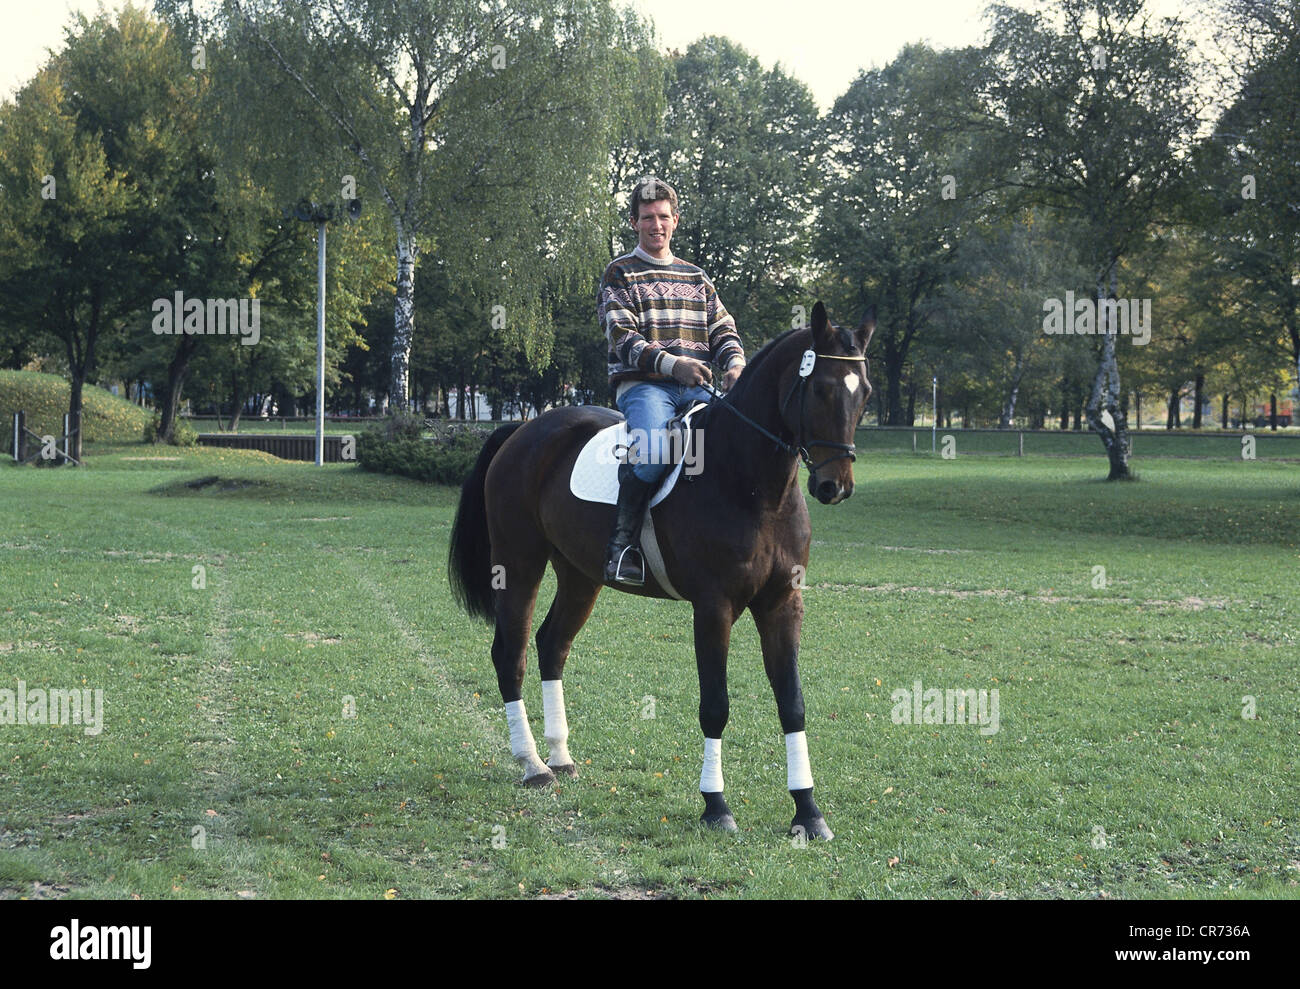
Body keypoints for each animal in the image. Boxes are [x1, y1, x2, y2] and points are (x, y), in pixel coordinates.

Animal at [447, 302, 873, 842]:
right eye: (821, 389)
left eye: (865, 392)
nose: (835, 486)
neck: (752, 485)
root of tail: (524, 431)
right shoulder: (713, 608)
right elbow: (715, 706)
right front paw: (715, 807)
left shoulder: (782, 603)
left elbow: (792, 702)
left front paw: (808, 811)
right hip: (518, 564)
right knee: (511, 654)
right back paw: (533, 765)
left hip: (580, 576)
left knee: (552, 645)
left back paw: (560, 756)